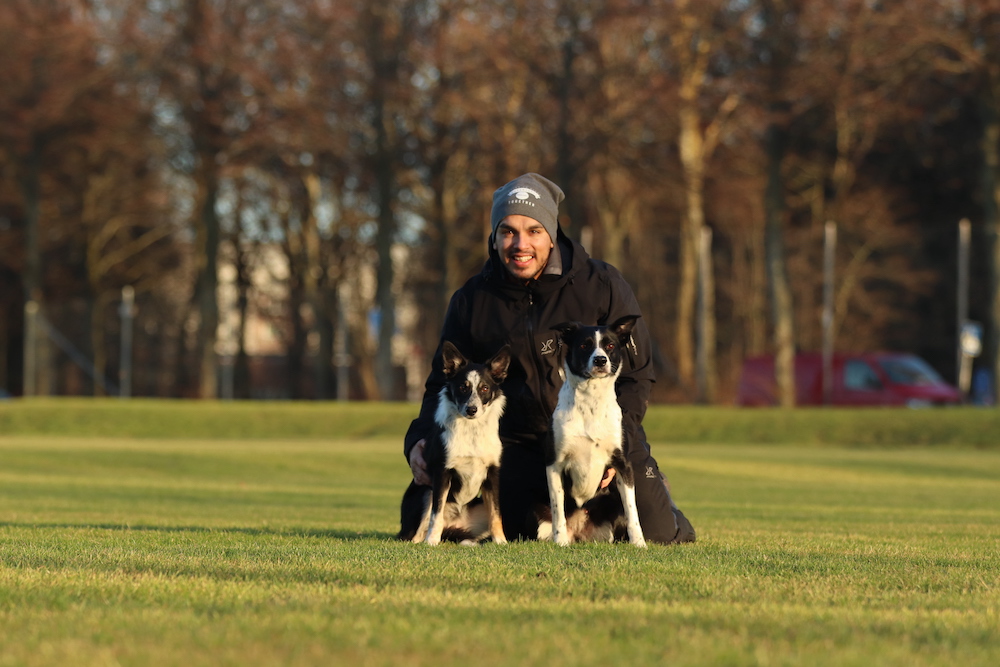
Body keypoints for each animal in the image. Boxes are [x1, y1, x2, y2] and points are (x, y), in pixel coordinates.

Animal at [396, 342, 512, 544]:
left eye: (484, 388)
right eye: (463, 387)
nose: (472, 409)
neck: (471, 432)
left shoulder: (492, 475)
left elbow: (496, 514)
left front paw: (501, 542)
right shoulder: (442, 474)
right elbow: (436, 514)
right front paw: (432, 542)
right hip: (425, 493)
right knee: (419, 533)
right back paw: (426, 540)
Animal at [540, 316, 648, 544]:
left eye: (610, 346)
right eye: (584, 345)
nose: (600, 360)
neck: (591, 402)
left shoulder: (623, 465)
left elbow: (632, 510)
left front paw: (639, 543)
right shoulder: (554, 464)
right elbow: (557, 509)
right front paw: (560, 541)